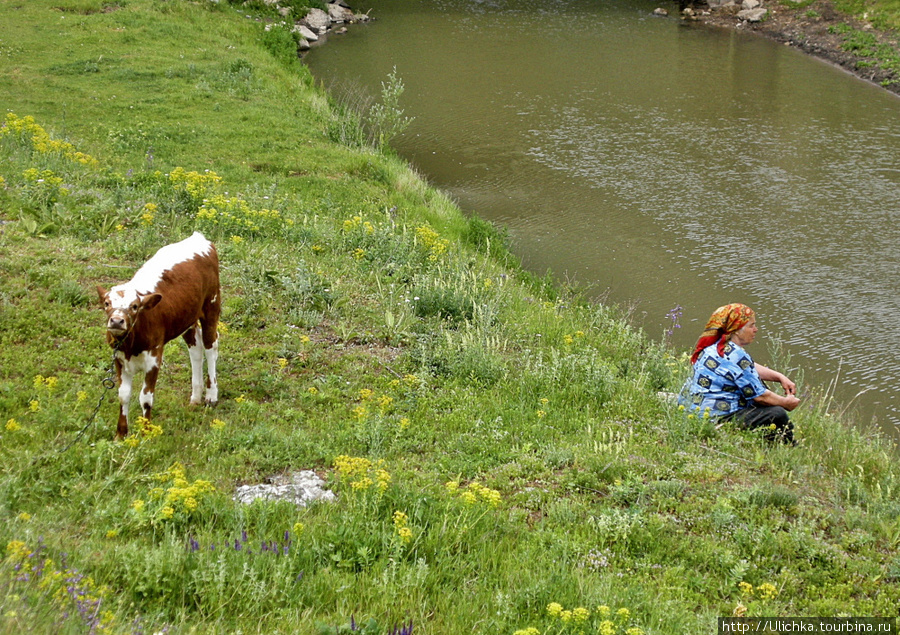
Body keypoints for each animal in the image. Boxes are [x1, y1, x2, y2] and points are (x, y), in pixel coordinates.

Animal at [97, 231, 221, 440]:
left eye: (134, 306)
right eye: (107, 303)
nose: (116, 321)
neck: (131, 345)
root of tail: (198, 238)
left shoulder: (154, 357)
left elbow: (146, 397)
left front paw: (146, 432)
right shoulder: (119, 359)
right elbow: (123, 395)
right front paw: (121, 434)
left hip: (211, 305)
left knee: (211, 346)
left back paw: (211, 396)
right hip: (187, 317)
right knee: (196, 348)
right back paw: (195, 397)